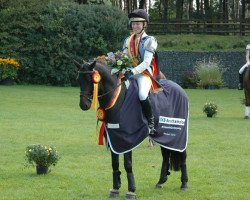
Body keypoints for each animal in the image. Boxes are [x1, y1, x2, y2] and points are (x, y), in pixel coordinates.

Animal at [77, 61, 188, 199]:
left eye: (90, 79)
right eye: (79, 80)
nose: (84, 105)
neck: (118, 99)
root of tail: (180, 89)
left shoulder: (128, 139)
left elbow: (128, 164)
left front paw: (131, 190)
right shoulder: (114, 138)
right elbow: (115, 164)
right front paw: (115, 189)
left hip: (178, 134)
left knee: (183, 155)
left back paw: (184, 184)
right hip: (164, 136)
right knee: (166, 155)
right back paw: (161, 182)